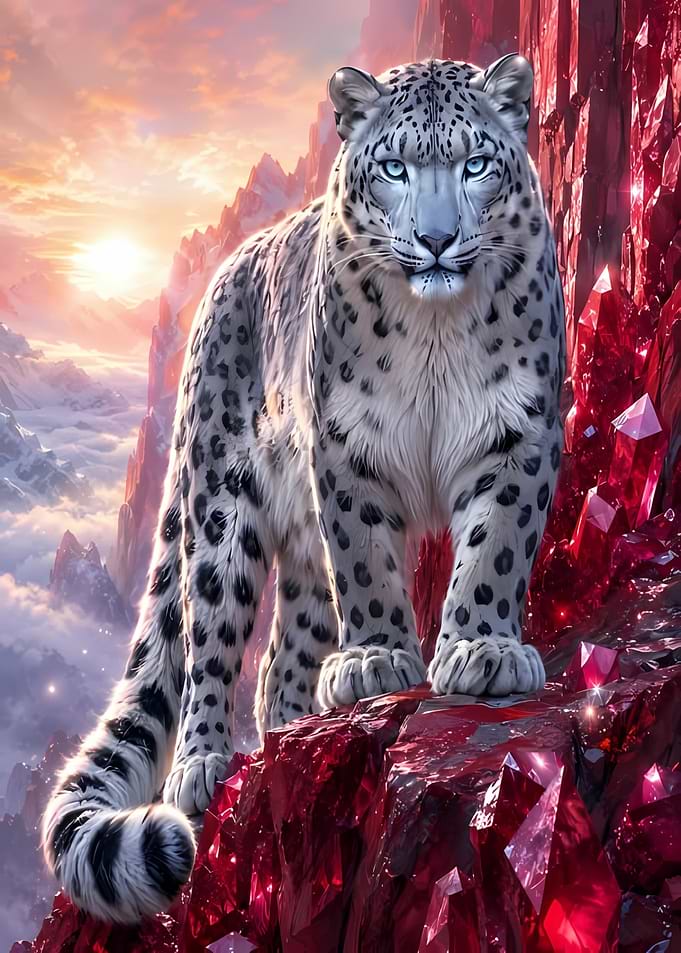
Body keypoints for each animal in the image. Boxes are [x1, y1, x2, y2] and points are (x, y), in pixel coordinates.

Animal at [42, 53, 565, 924]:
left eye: (475, 165)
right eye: (393, 167)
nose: (434, 239)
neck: (436, 334)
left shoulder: (517, 429)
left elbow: (494, 547)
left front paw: (481, 650)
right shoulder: (347, 446)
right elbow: (368, 564)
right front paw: (380, 658)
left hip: (296, 568)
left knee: (280, 655)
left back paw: (296, 727)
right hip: (219, 510)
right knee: (210, 646)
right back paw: (204, 767)